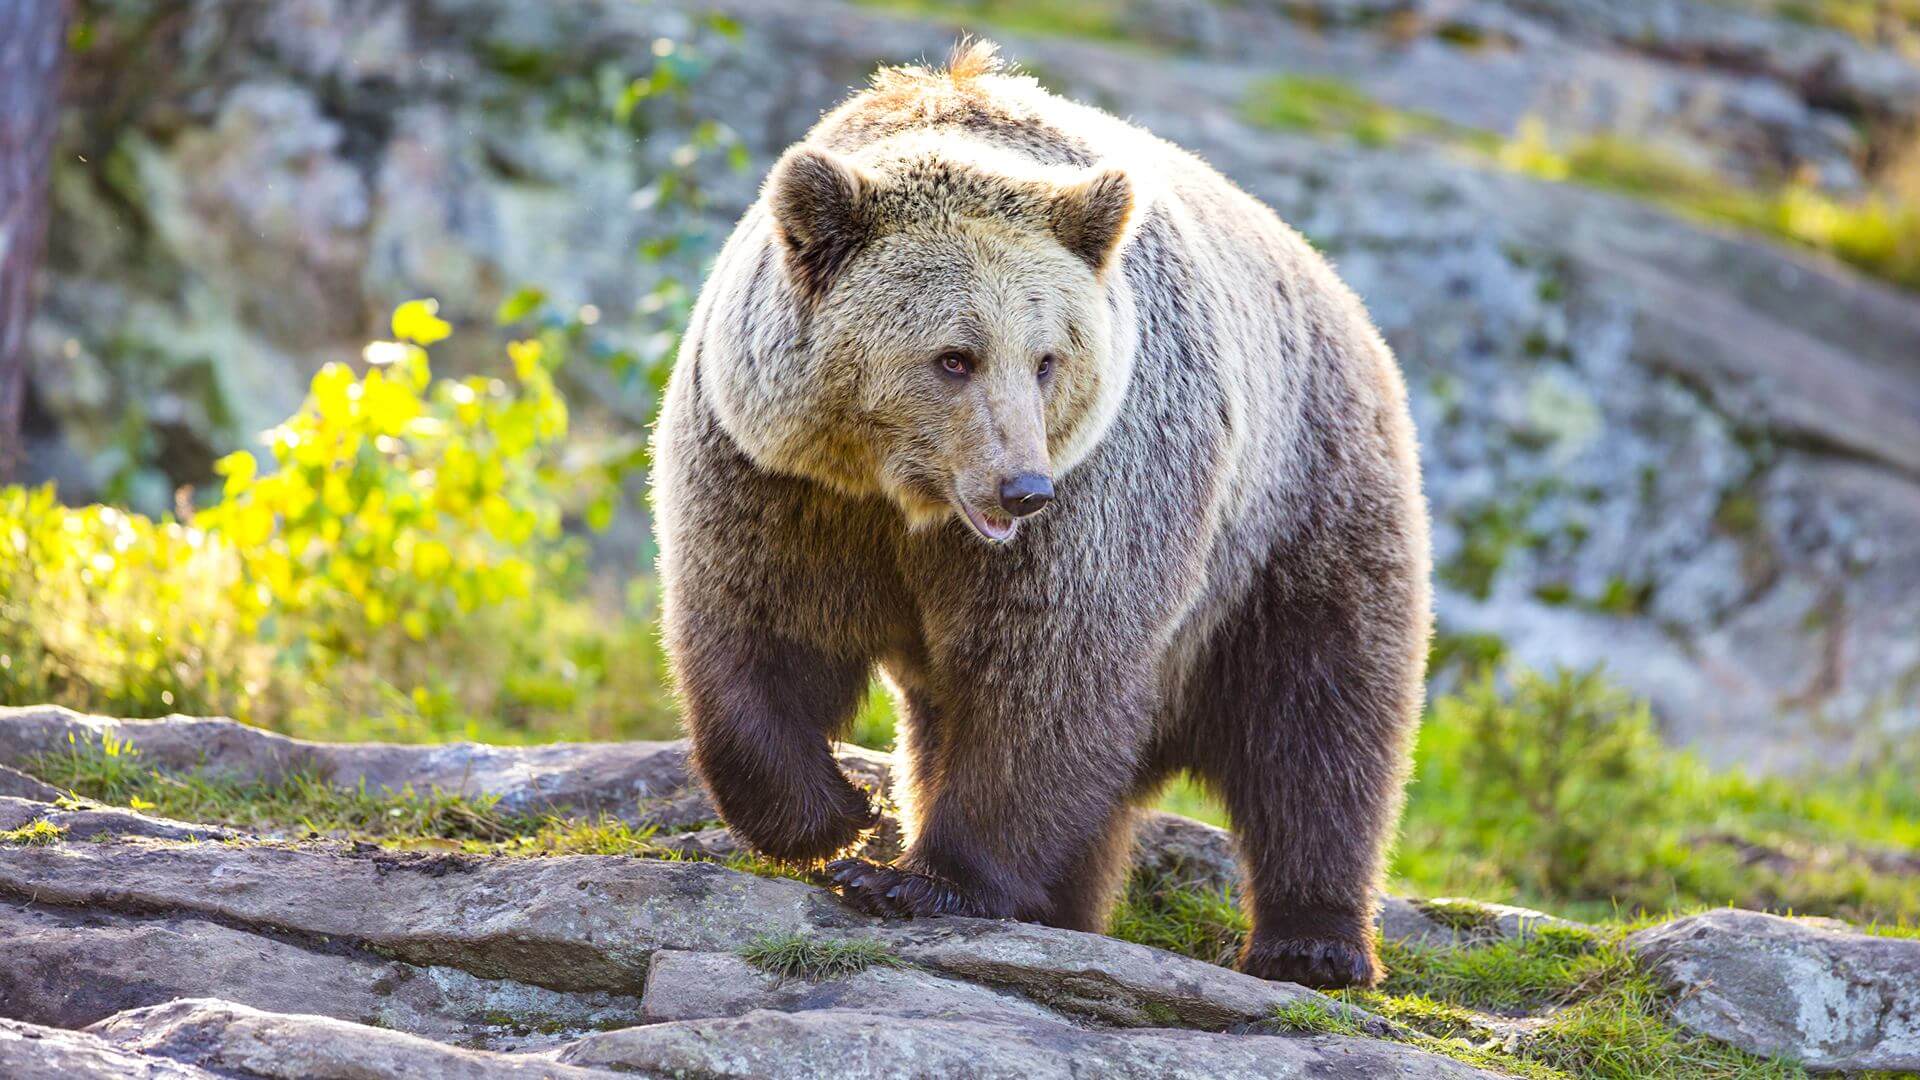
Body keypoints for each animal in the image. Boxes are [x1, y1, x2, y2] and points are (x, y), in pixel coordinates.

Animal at [656, 39, 1428, 983]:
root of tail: (1344, 299)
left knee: (1318, 716)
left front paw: (919, 876)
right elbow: (757, 628)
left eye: (1047, 358)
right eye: (955, 357)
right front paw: (840, 813)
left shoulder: (1102, 490)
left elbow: (1049, 671)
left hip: (1300, 508)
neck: (904, 500)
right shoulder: (777, 479)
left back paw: (1312, 942)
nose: (1021, 487)